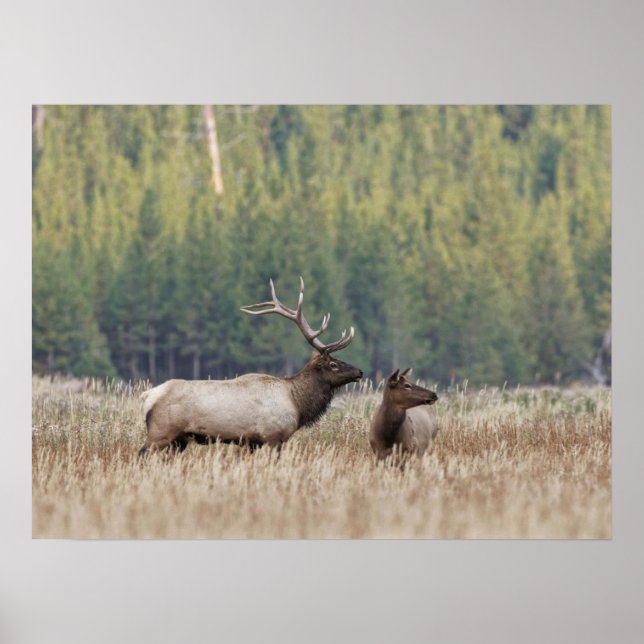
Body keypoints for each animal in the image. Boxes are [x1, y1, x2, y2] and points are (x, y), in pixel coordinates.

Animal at [138, 278, 363, 457]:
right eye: (334, 364)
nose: (359, 371)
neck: (297, 404)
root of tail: (148, 396)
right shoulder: (273, 437)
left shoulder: (251, 442)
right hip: (160, 433)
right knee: (142, 453)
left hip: (179, 440)